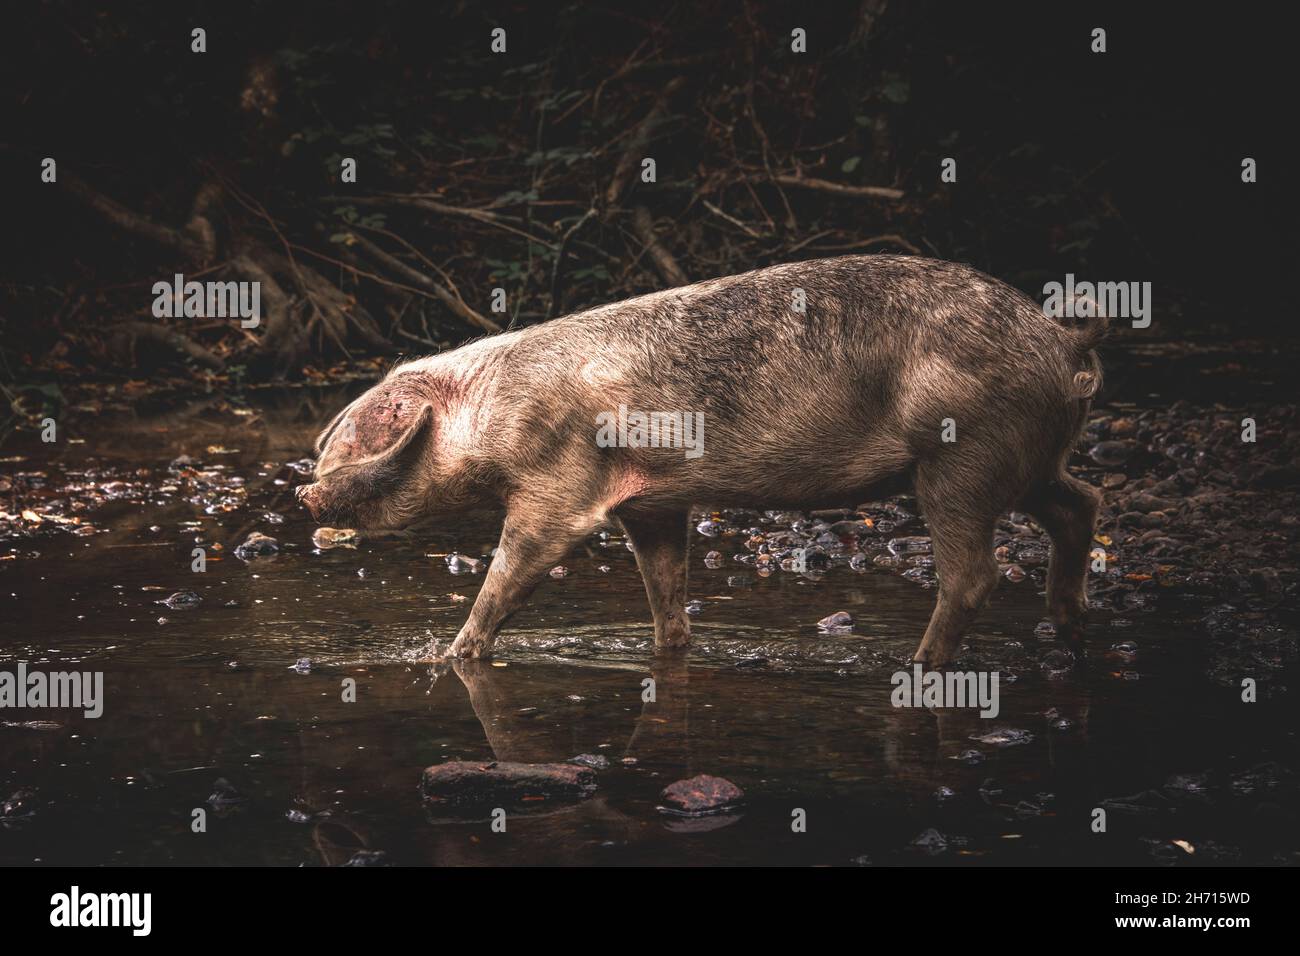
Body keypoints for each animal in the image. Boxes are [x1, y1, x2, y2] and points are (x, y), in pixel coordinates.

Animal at [299, 257, 1102, 671]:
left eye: (345, 445)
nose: (304, 496)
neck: (484, 416)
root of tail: (1062, 340)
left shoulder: (559, 482)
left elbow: (517, 565)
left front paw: (447, 658)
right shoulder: (651, 499)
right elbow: (664, 583)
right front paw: (671, 649)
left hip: (962, 451)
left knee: (975, 574)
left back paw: (918, 665)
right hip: (1025, 458)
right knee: (1080, 501)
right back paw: (1066, 626)